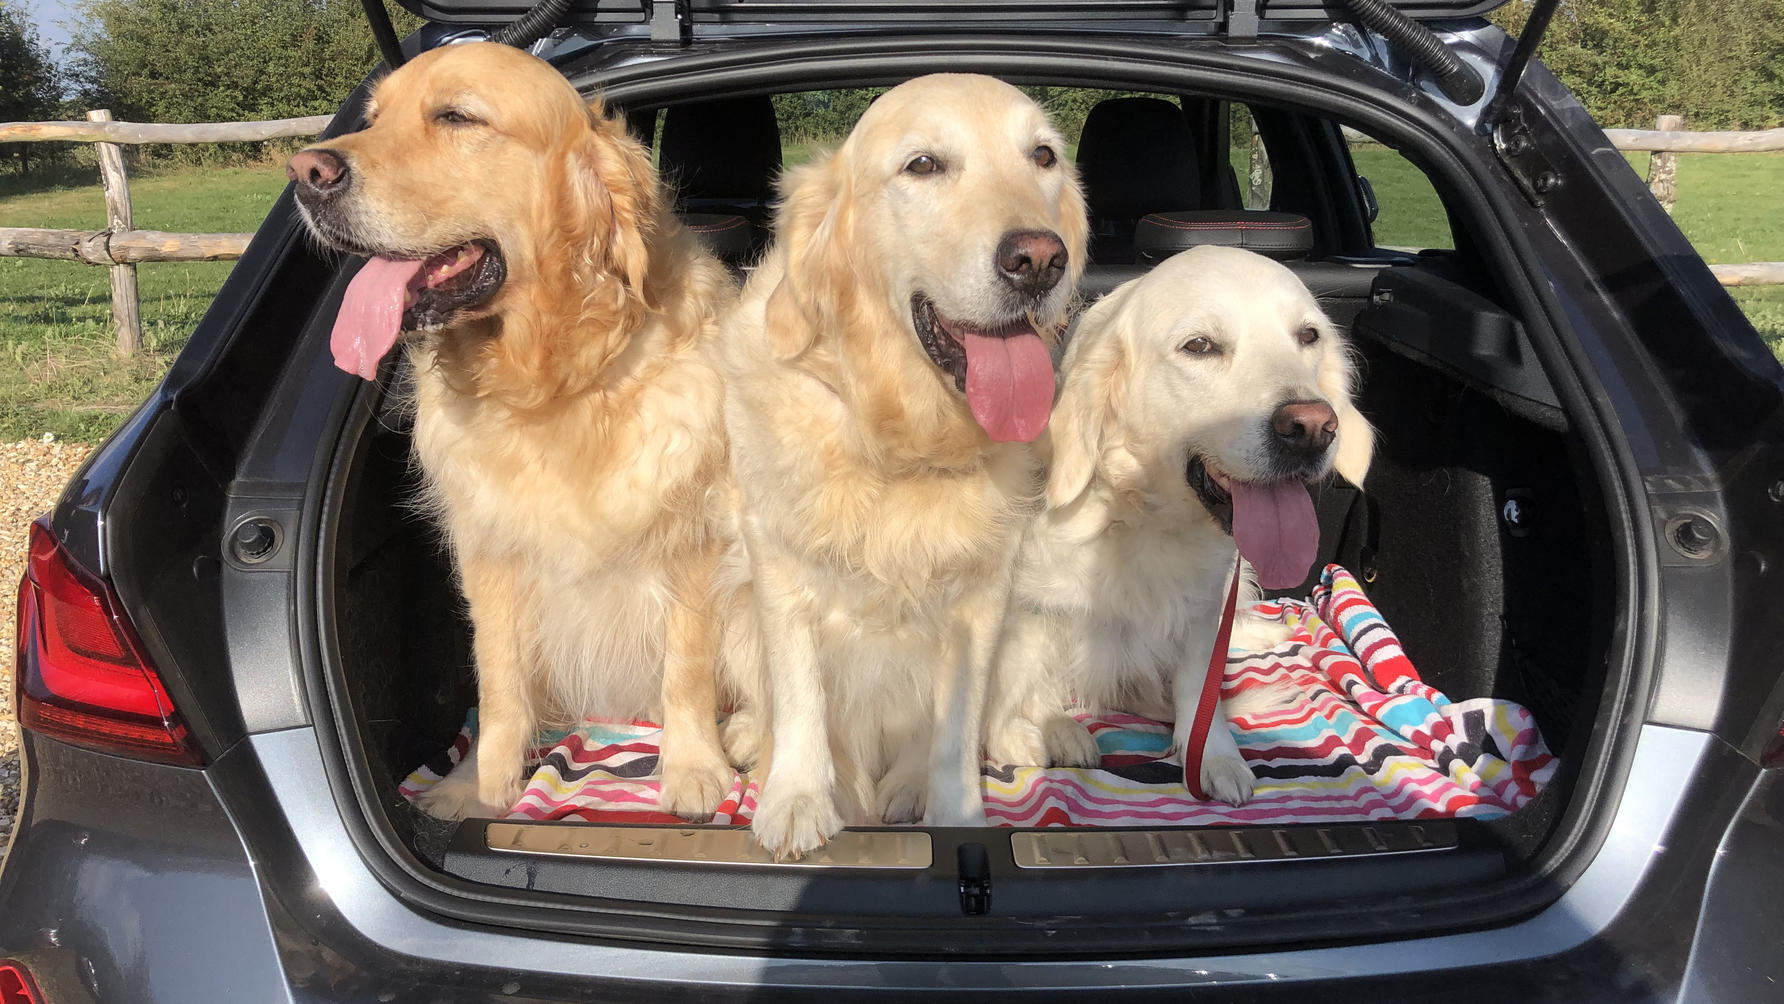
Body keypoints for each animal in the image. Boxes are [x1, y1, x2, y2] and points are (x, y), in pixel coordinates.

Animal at [285, 43, 738, 820]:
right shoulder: (488, 550)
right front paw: (483, 780)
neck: (555, 382)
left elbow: (687, 668)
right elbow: (497, 676)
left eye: (457, 117)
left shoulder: (698, 541)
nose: (306, 173)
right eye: (372, 118)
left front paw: (693, 769)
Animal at [720, 74, 1084, 855]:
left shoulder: (982, 596)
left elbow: (955, 725)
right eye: (923, 165)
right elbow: (799, 693)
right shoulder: (778, 564)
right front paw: (797, 798)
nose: (1040, 259)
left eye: (1043, 156)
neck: (904, 442)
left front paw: (956, 811)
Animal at [984, 247, 1370, 806]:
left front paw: (1212, 756)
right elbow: (1011, 684)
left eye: (1308, 336)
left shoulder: (1206, 601)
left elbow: (1198, 684)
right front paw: (1027, 732)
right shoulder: (1029, 605)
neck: (1144, 515)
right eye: (1200, 346)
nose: (1313, 428)